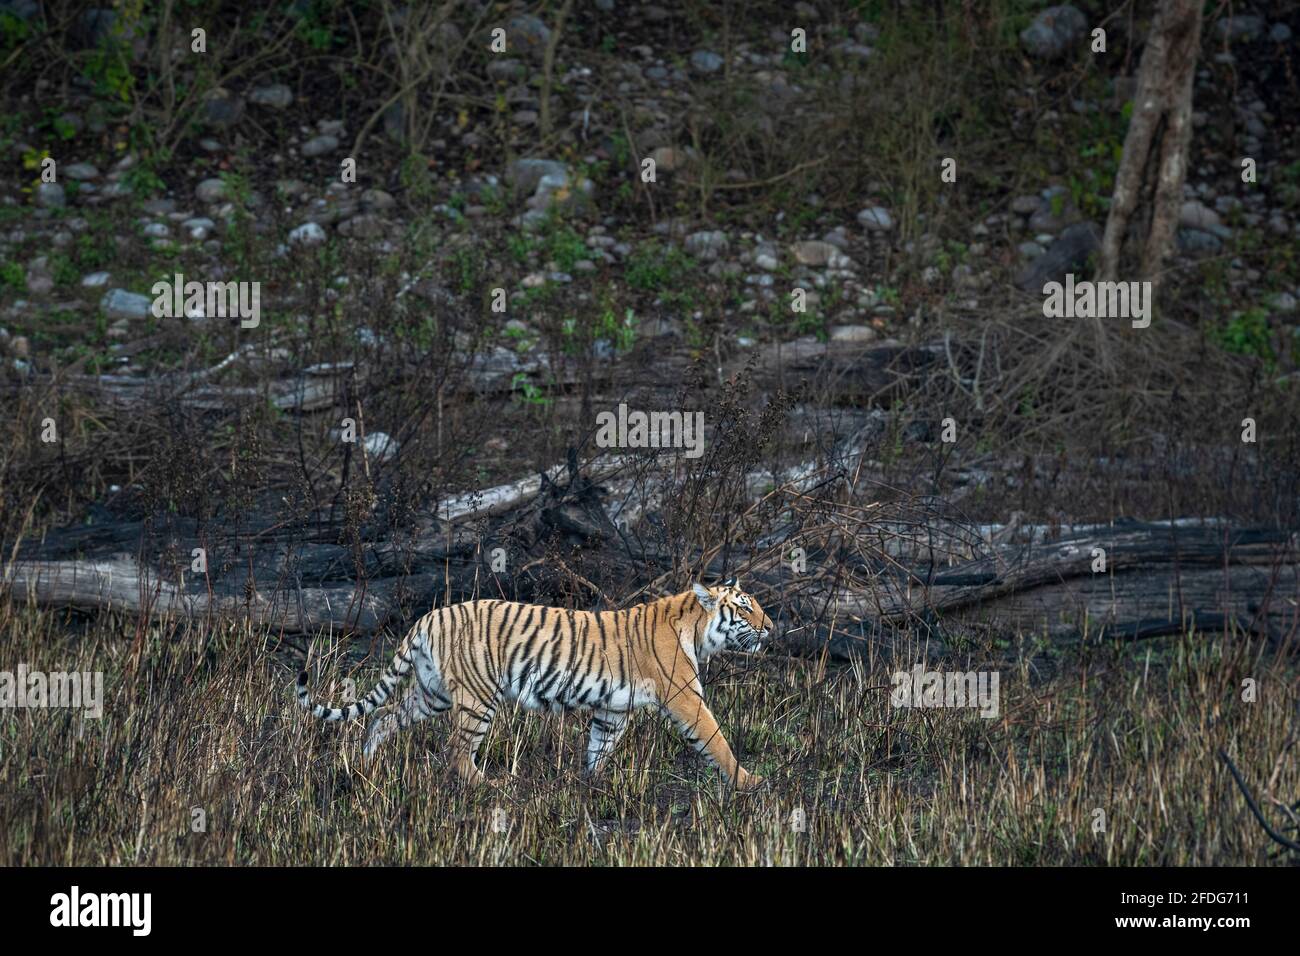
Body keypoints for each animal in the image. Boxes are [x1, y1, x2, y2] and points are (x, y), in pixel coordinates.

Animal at [295, 580, 769, 790]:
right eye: (745, 608)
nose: (772, 627)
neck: (697, 629)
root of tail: (429, 616)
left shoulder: (613, 709)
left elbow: (600, 746)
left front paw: (590, 783)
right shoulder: (686, 698)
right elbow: (717, 740)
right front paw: (749, 782)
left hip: (432, 693)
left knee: (385, 716)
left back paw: (366, 764)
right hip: (477, 698)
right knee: (456, 751)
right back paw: (489, 786)